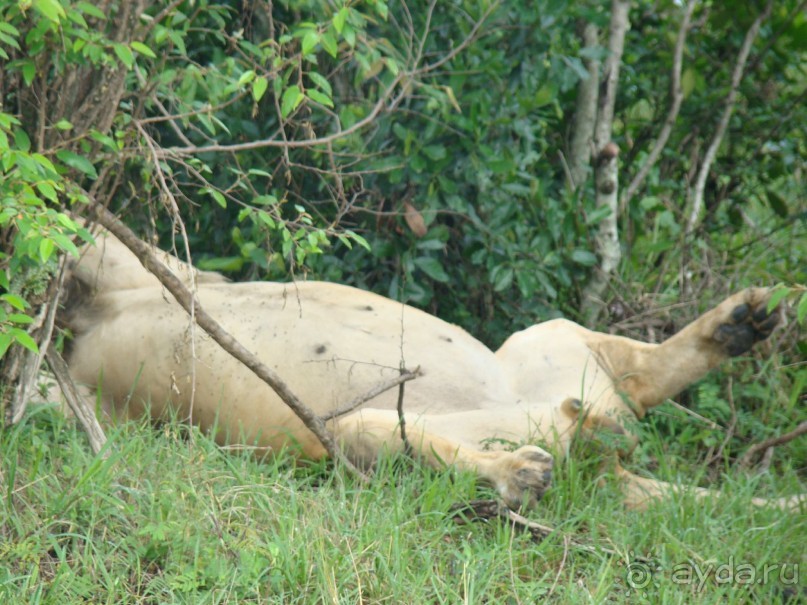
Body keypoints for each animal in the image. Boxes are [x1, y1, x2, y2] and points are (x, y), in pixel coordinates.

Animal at [61, 228, 800, 510]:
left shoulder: (165, 268)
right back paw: (536, 464)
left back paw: (741, 321)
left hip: (546, 337)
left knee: (642, 375)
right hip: (349, 432)